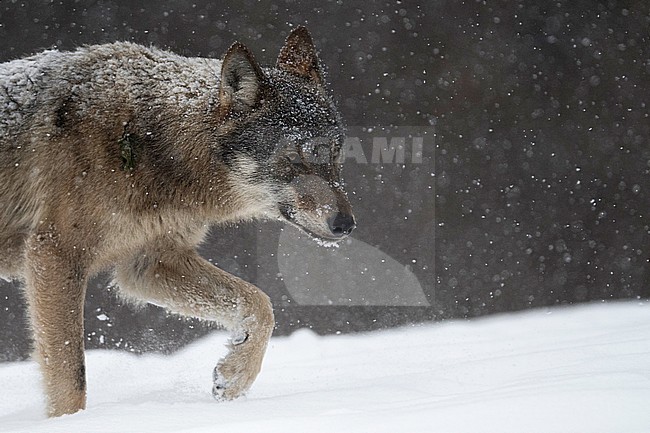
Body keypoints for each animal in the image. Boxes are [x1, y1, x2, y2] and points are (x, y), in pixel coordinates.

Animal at [0, 26, 355, 417]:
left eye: (335, 156)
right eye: (294, 159)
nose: (346, 224)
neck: (147, 138)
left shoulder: (149, 263)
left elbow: (260, 304)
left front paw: (233, 378)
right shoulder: (55, 255)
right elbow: (70, 376)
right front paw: (72, 421)